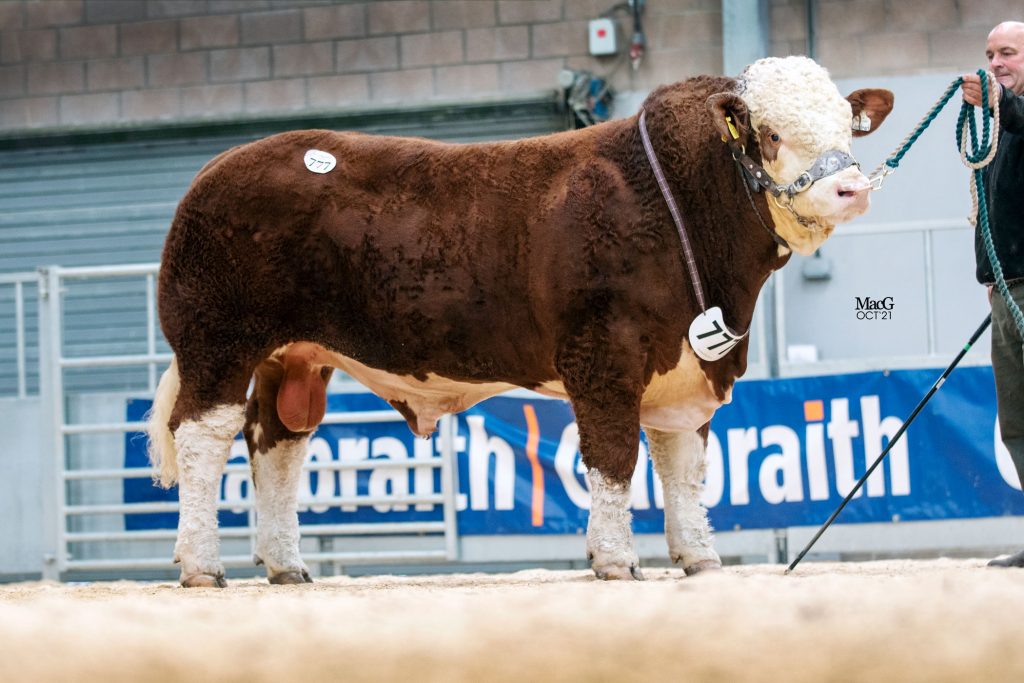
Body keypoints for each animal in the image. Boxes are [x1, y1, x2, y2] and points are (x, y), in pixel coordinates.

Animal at [148, 54, 892, 589]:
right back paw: (202, 566)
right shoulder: (603, 357)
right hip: (217, 340)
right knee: (203, 437)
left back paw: (286, 565)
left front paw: (700, 560)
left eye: (844, 125)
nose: (851, 187)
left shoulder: (689, 366)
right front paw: (617, 560)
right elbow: (615, 460)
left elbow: (684, 469)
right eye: (771, 134)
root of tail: (218, 168)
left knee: (276, 439)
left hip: (294, 357)